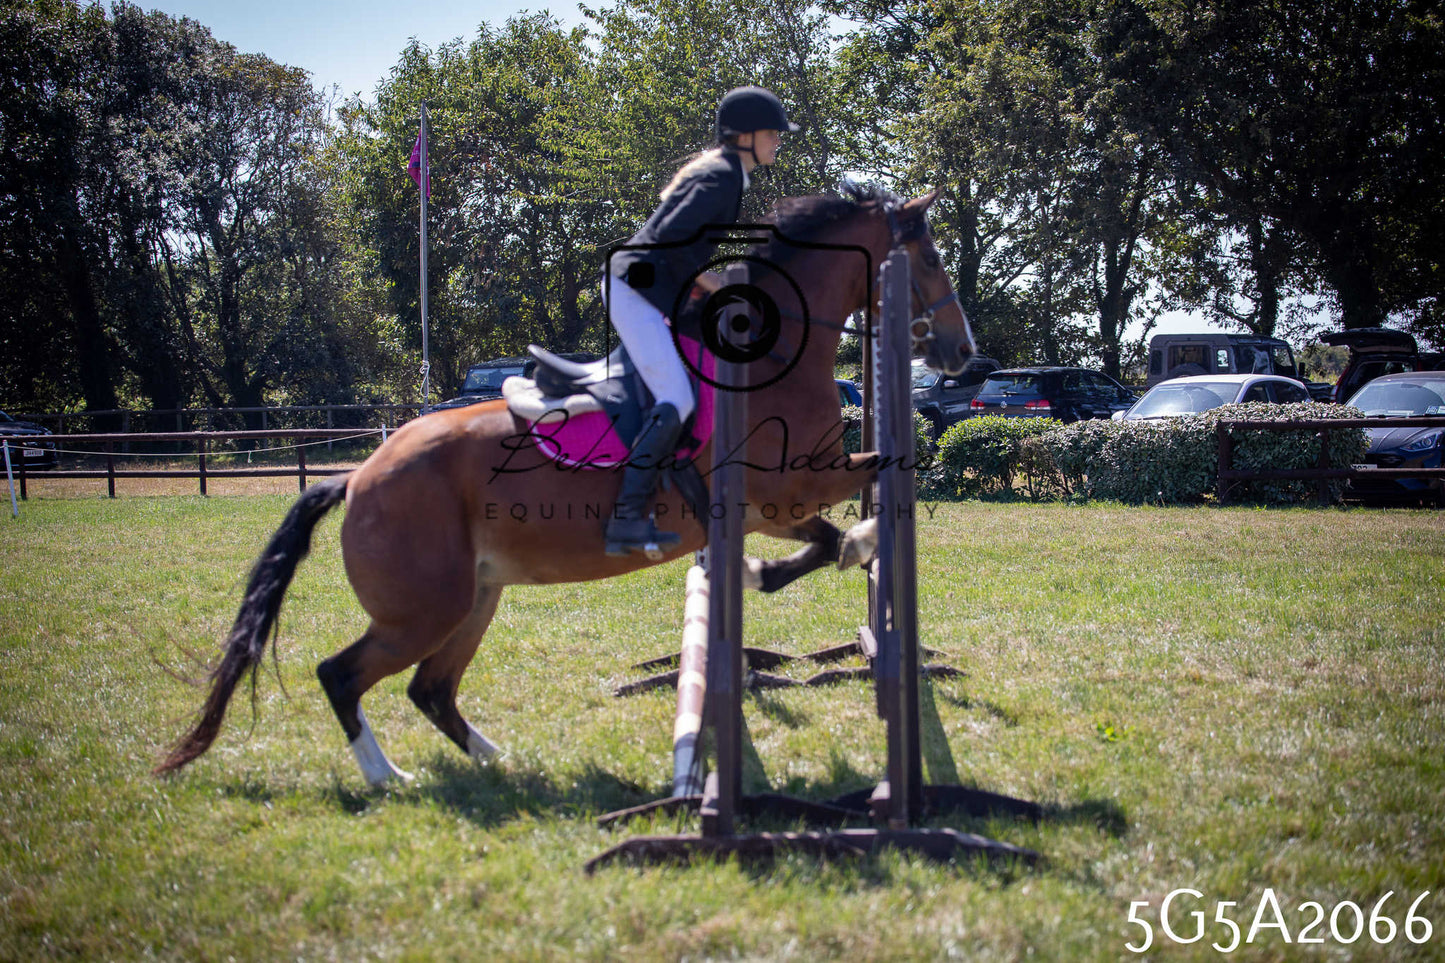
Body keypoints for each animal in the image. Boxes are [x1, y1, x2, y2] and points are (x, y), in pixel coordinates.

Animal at [155, 183, 976, 787]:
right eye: (929, 256)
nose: (965, 354)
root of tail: (357, 476)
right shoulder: (784, 491)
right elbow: (846, 521)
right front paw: (831, 551)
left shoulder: (774, 506)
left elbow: (817, 543)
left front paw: (758, 569)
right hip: (425, 607)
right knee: (344, 674)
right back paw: (388, 777)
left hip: (475, 598)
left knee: (430, 689)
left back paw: (503, 761)